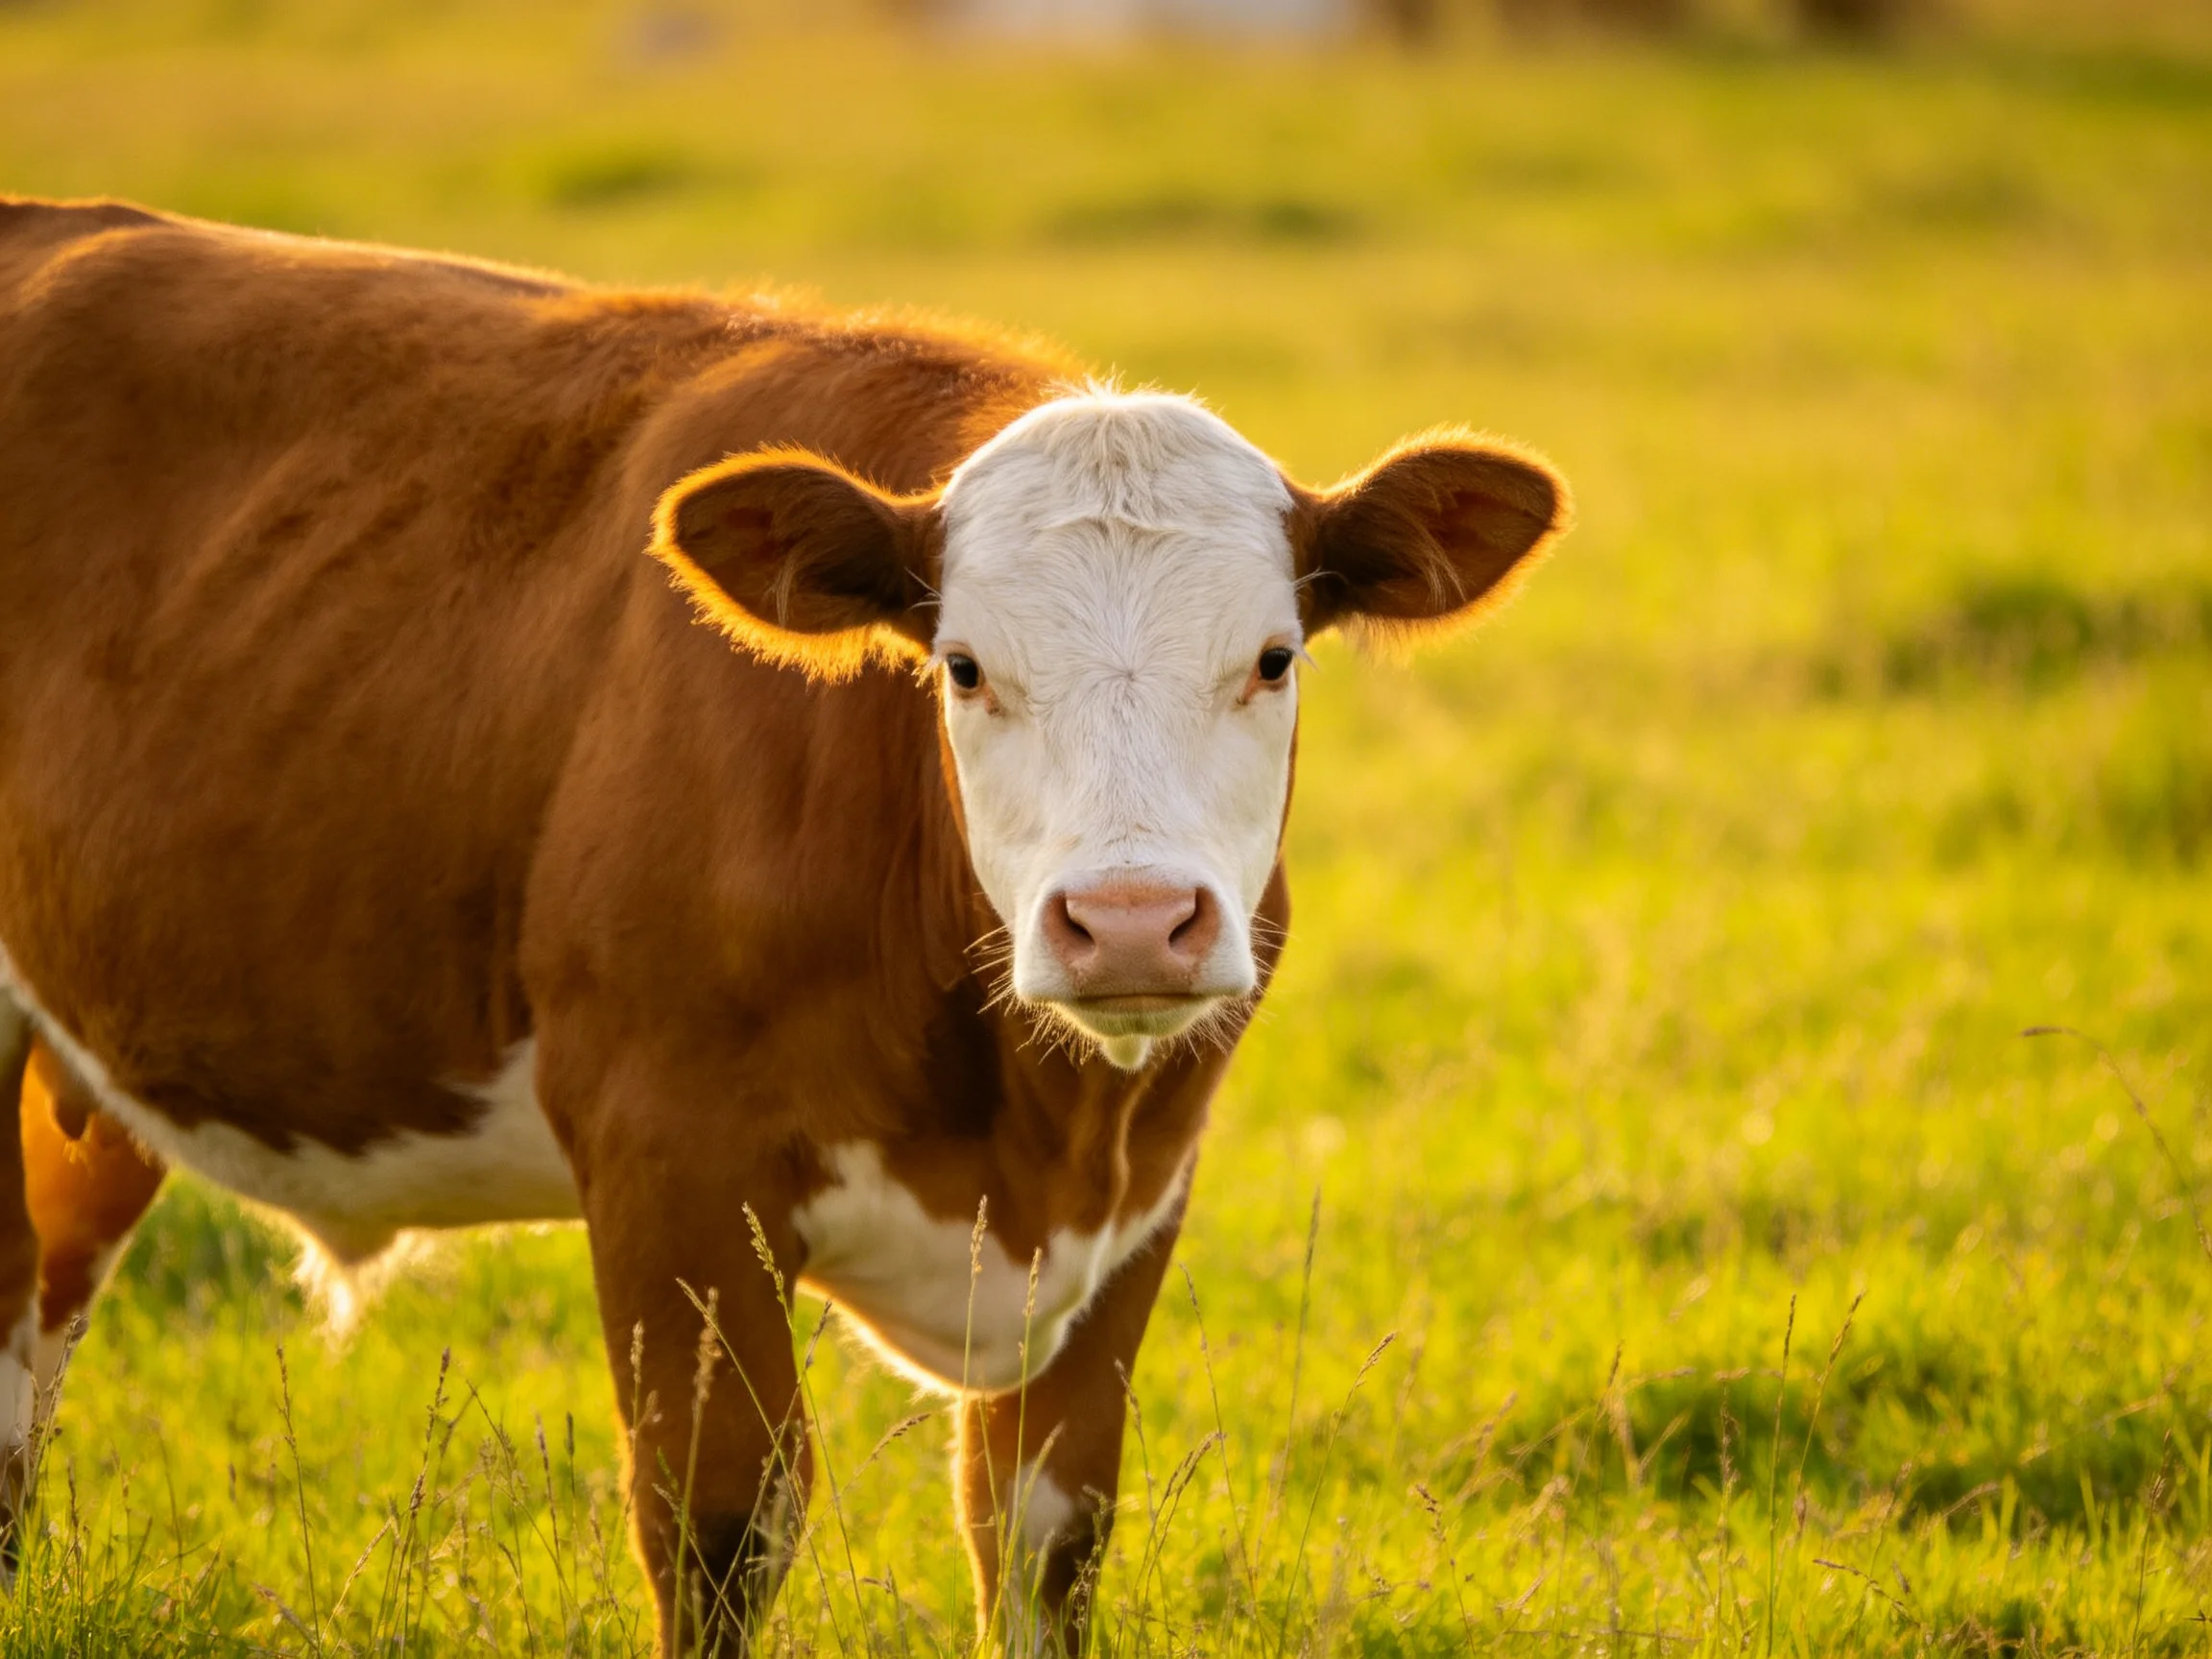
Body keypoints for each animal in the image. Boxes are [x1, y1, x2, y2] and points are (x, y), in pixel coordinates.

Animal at [0, 195, 1567, 1653]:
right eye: (963, 665)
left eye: (1274, 656)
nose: (1129, 925)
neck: (1025, 1133)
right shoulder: (667, 1160)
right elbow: (719, 1529)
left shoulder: (1141, 1196)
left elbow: (1045, 1537)